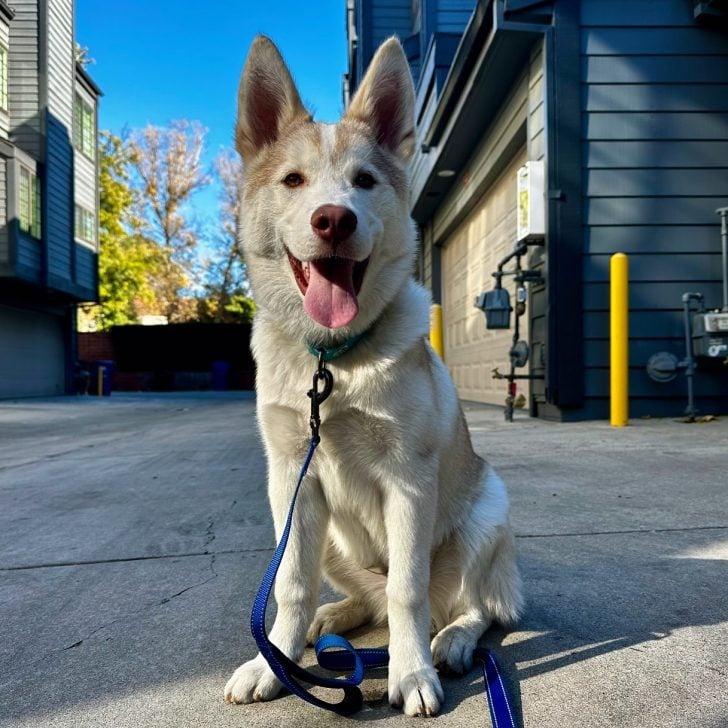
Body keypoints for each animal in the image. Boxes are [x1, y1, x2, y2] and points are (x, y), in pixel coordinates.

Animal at [223, 34, 524, 716]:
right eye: (293, 180)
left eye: (364, 181)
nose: (333, 219)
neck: (332, 360)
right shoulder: (292, 480)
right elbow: (291, 583)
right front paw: (274, 660)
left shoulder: (407, 483)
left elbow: (407, 591)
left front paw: (411, 673)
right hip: (326, 533)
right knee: (355, 595)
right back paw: (326, 622)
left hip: (487, 512)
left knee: (472, 606)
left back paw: (452, 640)